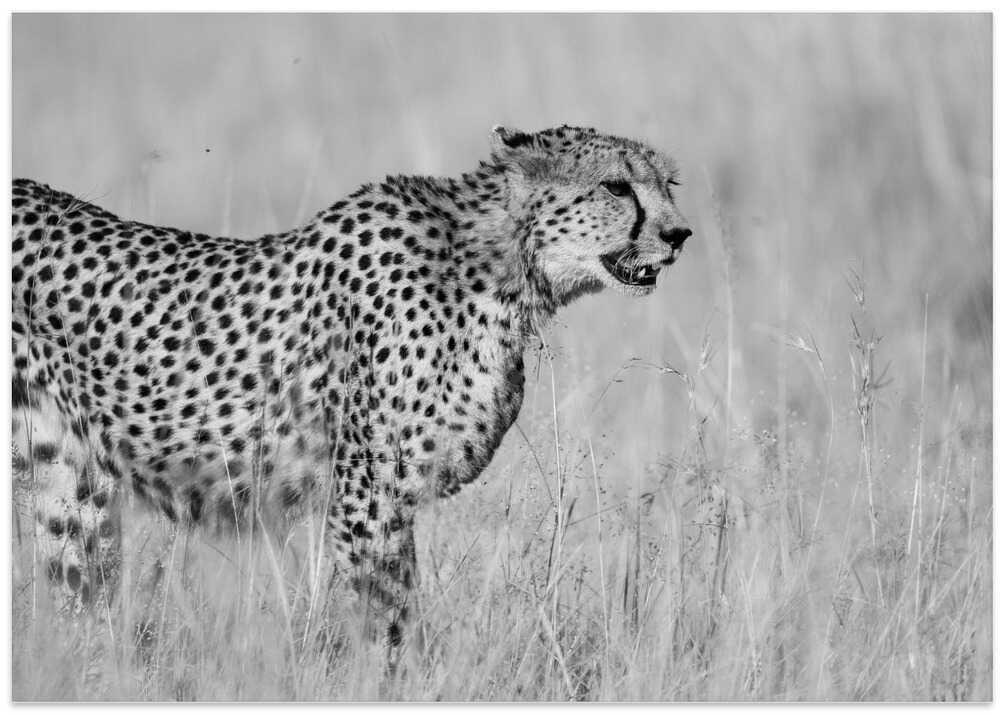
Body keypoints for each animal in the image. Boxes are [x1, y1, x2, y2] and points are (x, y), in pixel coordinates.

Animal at [11, 124, 692, 652]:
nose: (679, 235)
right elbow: (391, 621)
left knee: (77, 593)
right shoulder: (367, 497)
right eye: (616, 186)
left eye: (669, 185)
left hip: (68, 483)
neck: (499, 267)